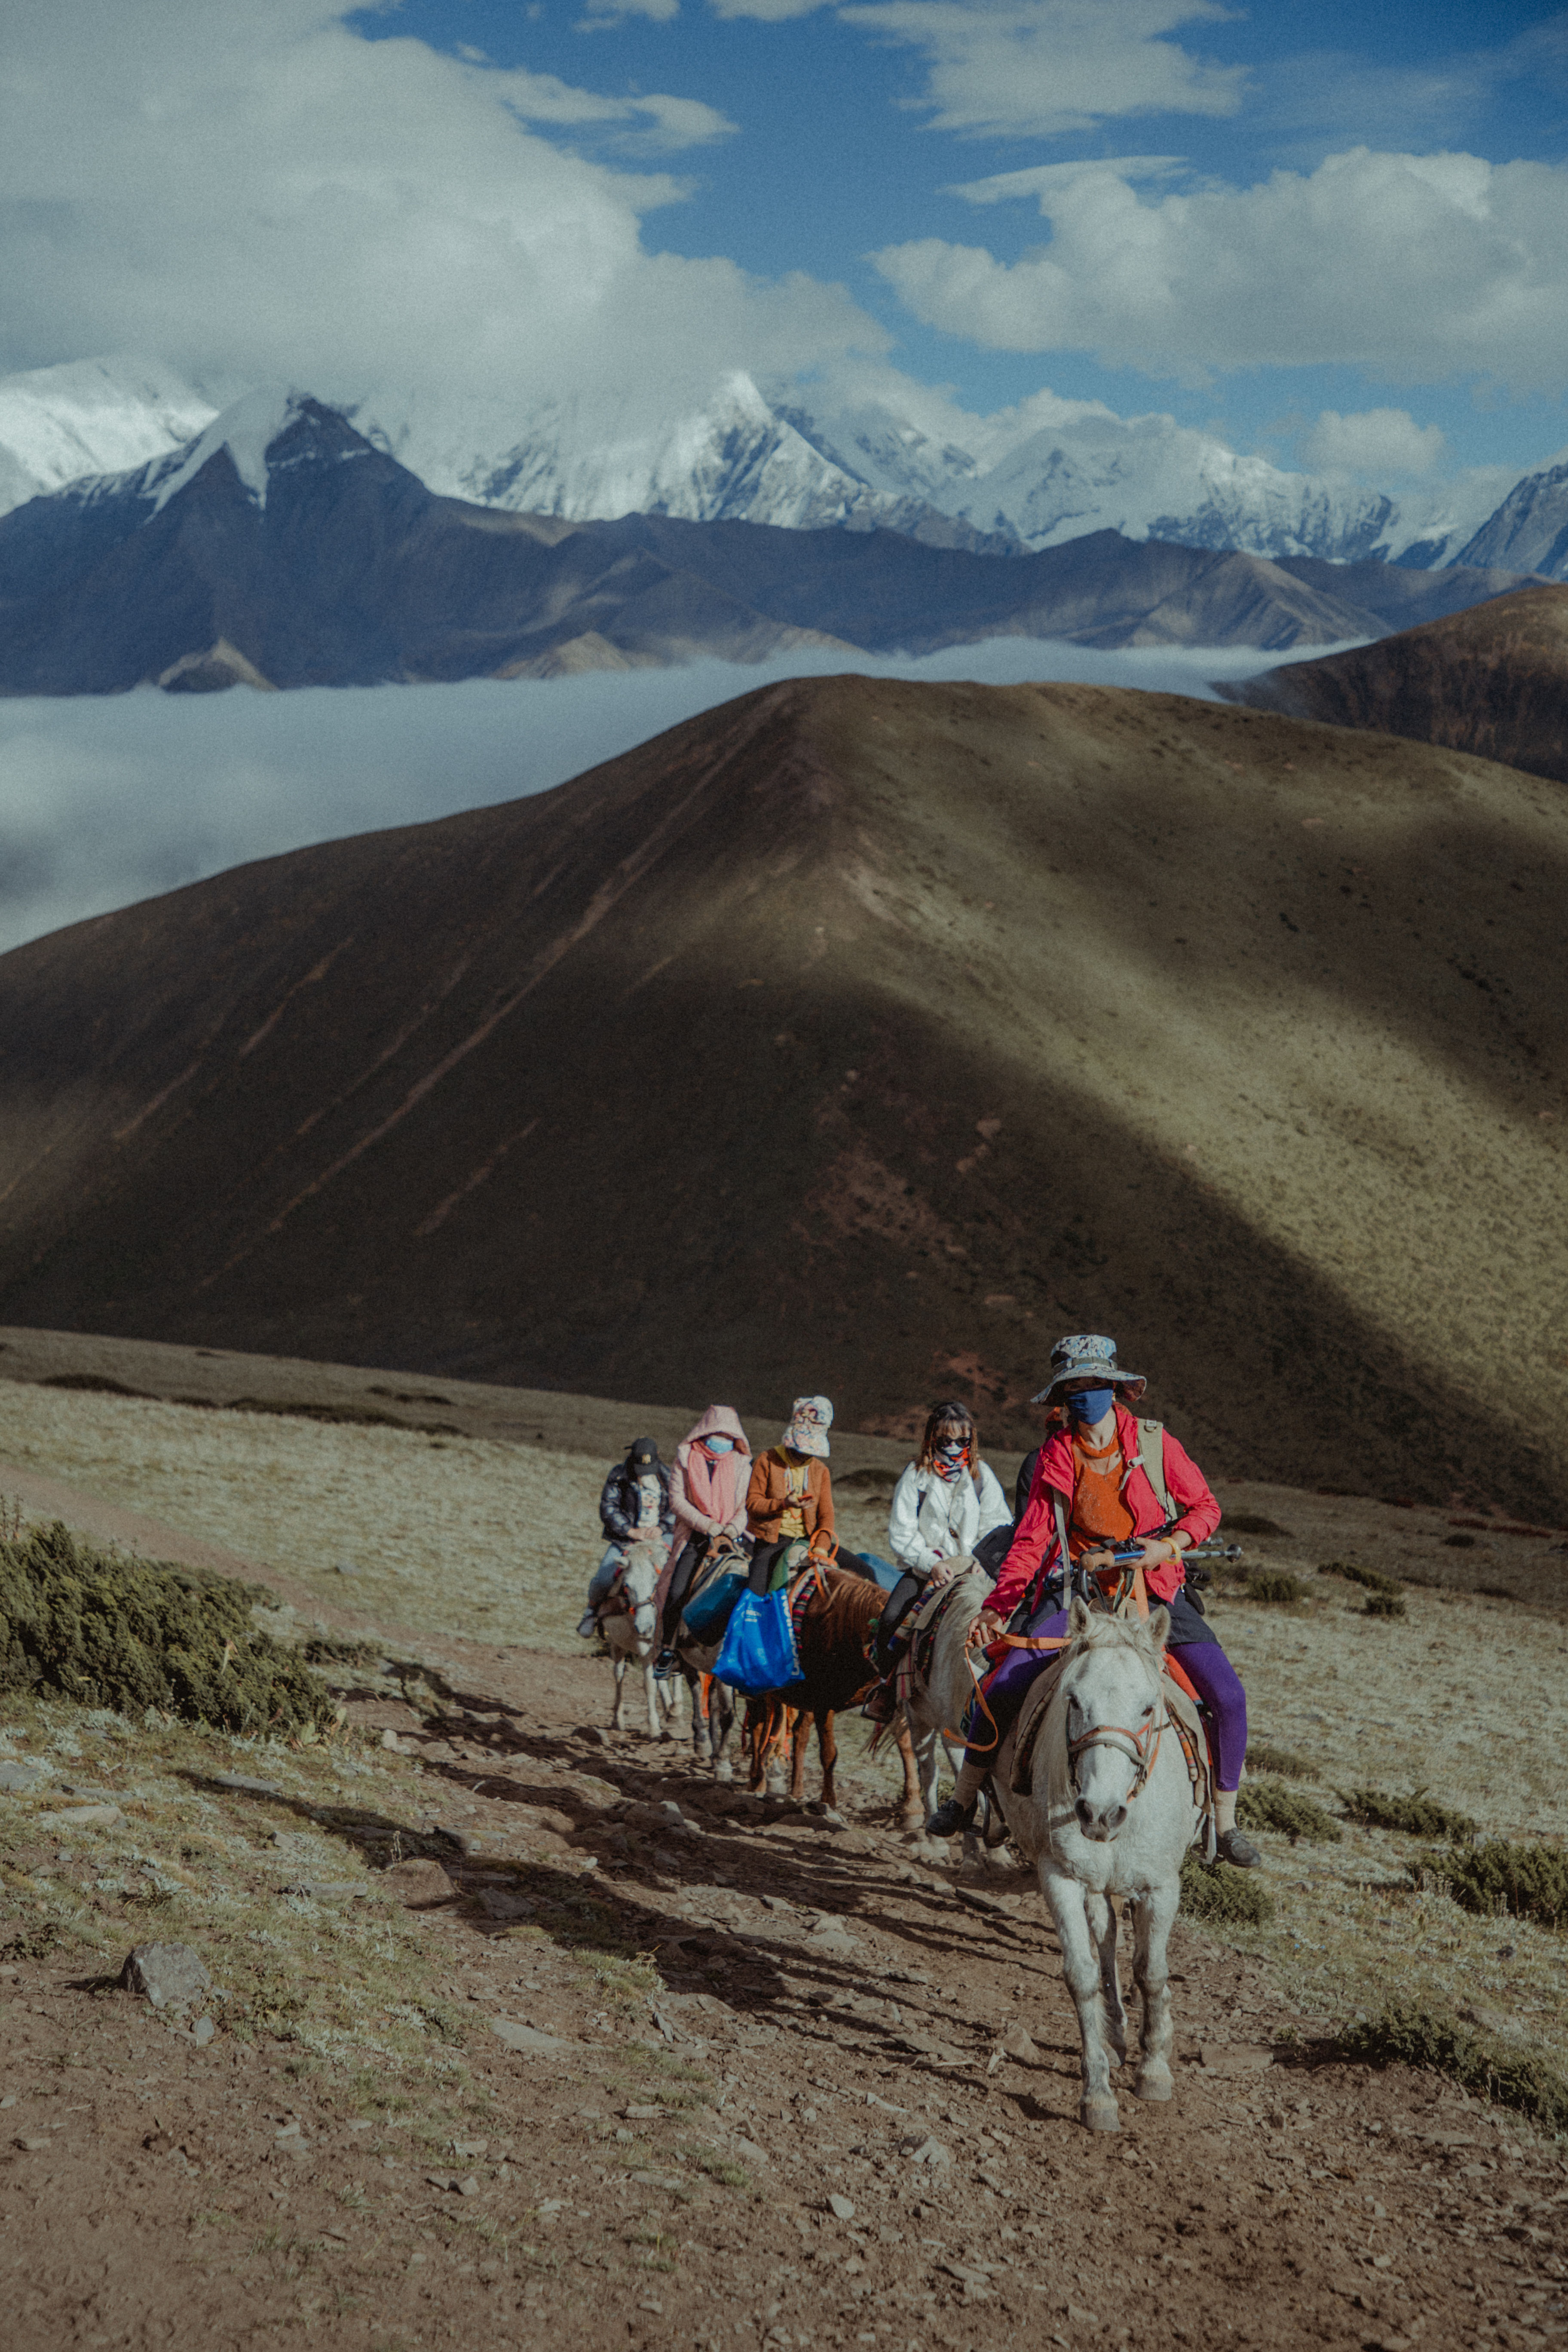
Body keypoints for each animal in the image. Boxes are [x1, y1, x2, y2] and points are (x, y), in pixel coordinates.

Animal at [747, 1571, 926, 1825]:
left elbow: (907, 1747)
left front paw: (913, 1809)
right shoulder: (823, 1704)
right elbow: (829, 1754)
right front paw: (829, 1803)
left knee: (795, 1734)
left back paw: (795, 1790)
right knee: (758, 1728)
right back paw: (757, 1782)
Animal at [992, 1599, 1204, 2135]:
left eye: (1148, 1707)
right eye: (1073, 1700)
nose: (1099, 1813)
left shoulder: (1161, 1888)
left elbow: (1152, 1971)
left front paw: (1155, 2068)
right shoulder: (1061, 1878)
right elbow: (1083, 1975)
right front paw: (1098, 2093)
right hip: (1092, 1883)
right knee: (1106, 1946)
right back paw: (1115, 2035)